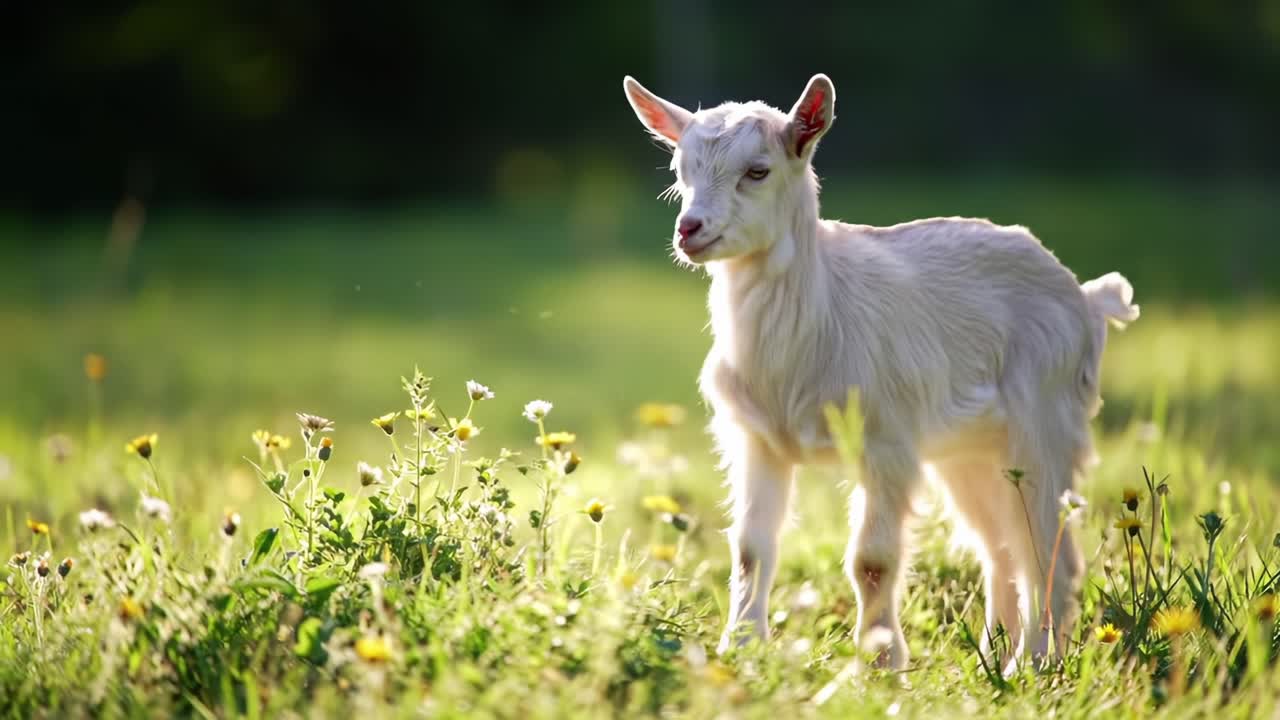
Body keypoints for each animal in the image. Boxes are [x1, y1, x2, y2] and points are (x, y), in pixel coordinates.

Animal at [623, 73, 1139, 669]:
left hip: (1045, 424)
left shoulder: (886, 442)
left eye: (757, 170)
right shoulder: (758, 440)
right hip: (968, 452)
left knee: (1047, 548)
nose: (690, 229)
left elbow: (871, 560)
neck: (816, 317)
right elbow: (751, 547)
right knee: (1000, 547)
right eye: (679, 169)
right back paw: (995, 660)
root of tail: (1087, 298)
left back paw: (1032, 664)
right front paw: (744, 648)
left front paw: (880, 663)